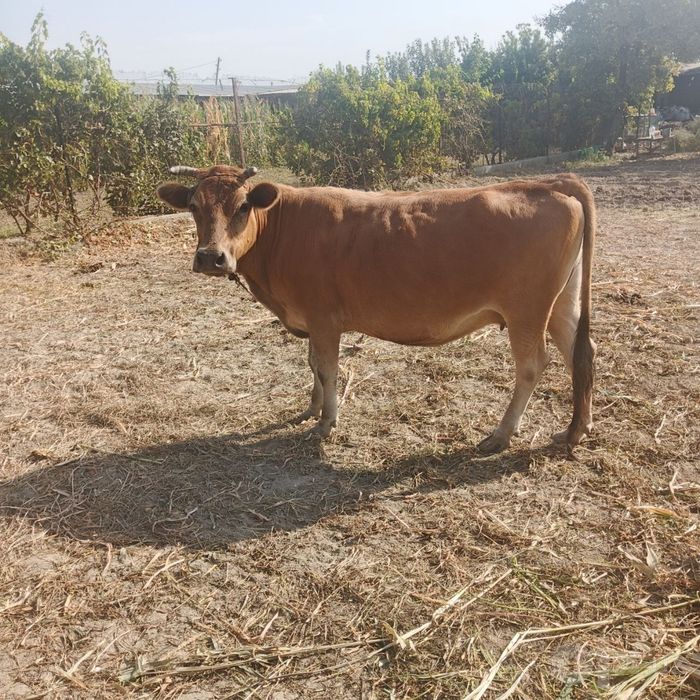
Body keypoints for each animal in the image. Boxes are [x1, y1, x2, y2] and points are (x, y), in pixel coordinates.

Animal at [157, 164, 596, 454]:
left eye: (243, 206)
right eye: (193, 206)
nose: (211, 257)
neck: (283, 226)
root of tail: (550, 182)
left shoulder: (324, 318)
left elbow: (327, 369)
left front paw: (325, 422)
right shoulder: (312, 321)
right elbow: (313, 365)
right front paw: (311, 409)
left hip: (527, 310)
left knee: (532, 365)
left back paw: (502, 433)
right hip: (562, 303)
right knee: (581, 353)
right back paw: (576, 429)